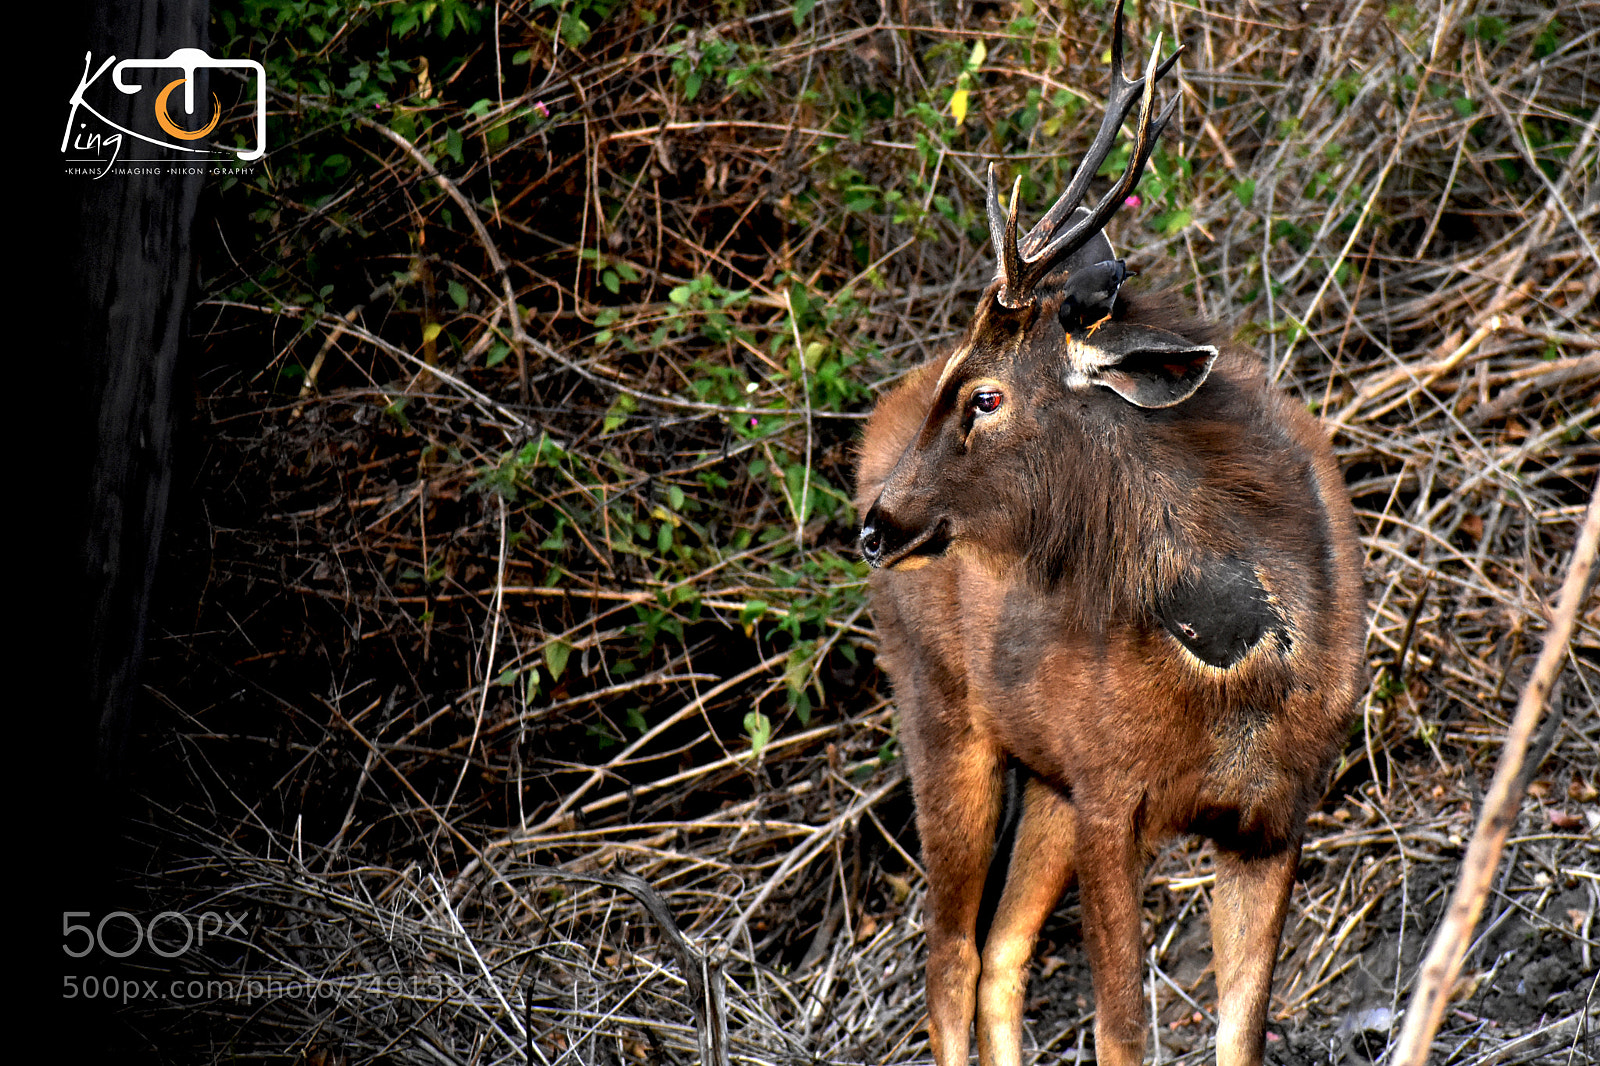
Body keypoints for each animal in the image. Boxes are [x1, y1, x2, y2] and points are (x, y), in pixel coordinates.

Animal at [852, 5, 1367, 1065]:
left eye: (985, 395)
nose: (876, 523)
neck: (1241, 659)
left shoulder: (1275, 816)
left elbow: (1239, 1033)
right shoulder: (1110, 794)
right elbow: (1122, 1029)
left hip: (1042, 773)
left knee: (998, 956)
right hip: (940, 706)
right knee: (948, 957)